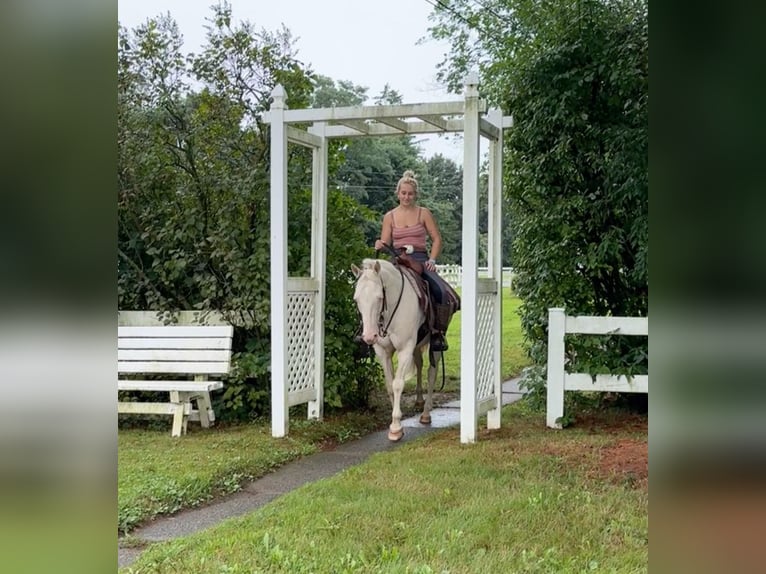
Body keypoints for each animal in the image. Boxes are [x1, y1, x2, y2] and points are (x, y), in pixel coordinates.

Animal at [352, 258, 440, 444]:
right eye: (356, 299)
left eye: (379, 297)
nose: (369, 336)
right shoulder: (383, 352)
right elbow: (389, 385)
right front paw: (395, 421)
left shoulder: (405, 349)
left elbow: (398, 384)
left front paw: (396, 427)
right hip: (417, 345)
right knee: (420, 365)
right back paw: (419, 401)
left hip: (436, 344)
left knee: (431, 373)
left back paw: (426, 413)